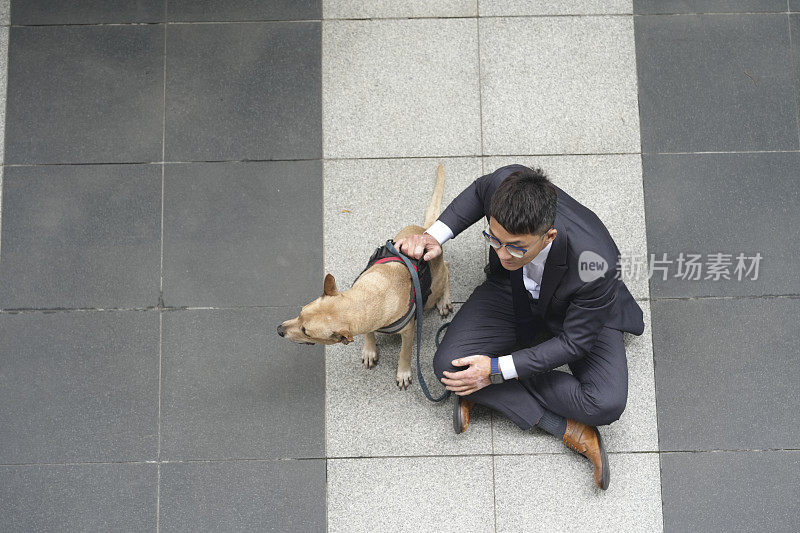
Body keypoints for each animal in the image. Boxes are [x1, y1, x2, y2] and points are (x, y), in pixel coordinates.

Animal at [276, 164, 454, 388]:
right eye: (300, 312)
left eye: (306, 331)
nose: (279, 329)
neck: (367, 298)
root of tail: (426, 232)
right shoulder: (367, 322)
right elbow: (368, 333)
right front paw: (369, 350)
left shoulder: (408, 332)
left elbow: (405, 353)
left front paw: (403, 372)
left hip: (432, 292)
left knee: (446, 270)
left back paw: (444, 300)